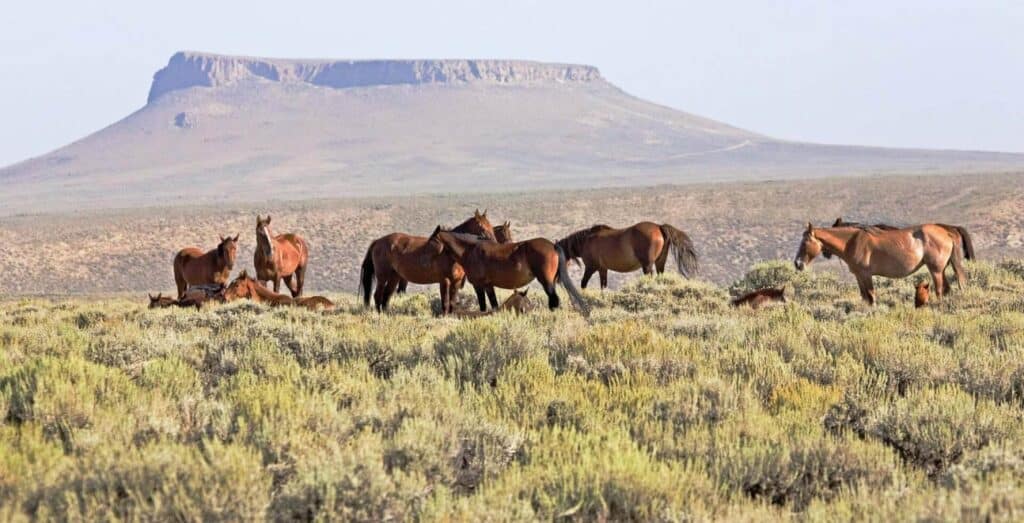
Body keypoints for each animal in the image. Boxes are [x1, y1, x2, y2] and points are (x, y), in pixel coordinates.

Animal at [434, 230, 588, 313]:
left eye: (433, 241)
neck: (471, 250)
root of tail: (553, 245)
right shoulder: (488, 286)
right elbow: (494, 304)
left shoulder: (479, 286)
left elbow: (483, 305)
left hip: (546, 282)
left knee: (554, 300)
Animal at [555, 222, 698, 289]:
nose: (558, 279)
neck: (586, 241)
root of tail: (659, 227)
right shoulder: (603, 269)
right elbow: (603, 286)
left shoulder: (591, 268)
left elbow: (583, 284)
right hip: (659, 262)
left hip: (647, 265)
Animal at [794, 222, 966, 305]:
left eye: (805, 242)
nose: (797, 264)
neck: (852, 242)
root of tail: (946, 231)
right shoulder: (859, 276)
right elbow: (865, 297)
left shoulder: (866, 275)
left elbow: (871, 296)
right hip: (941, 269)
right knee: (946, 289)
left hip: (935, 270)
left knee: (939, 291)